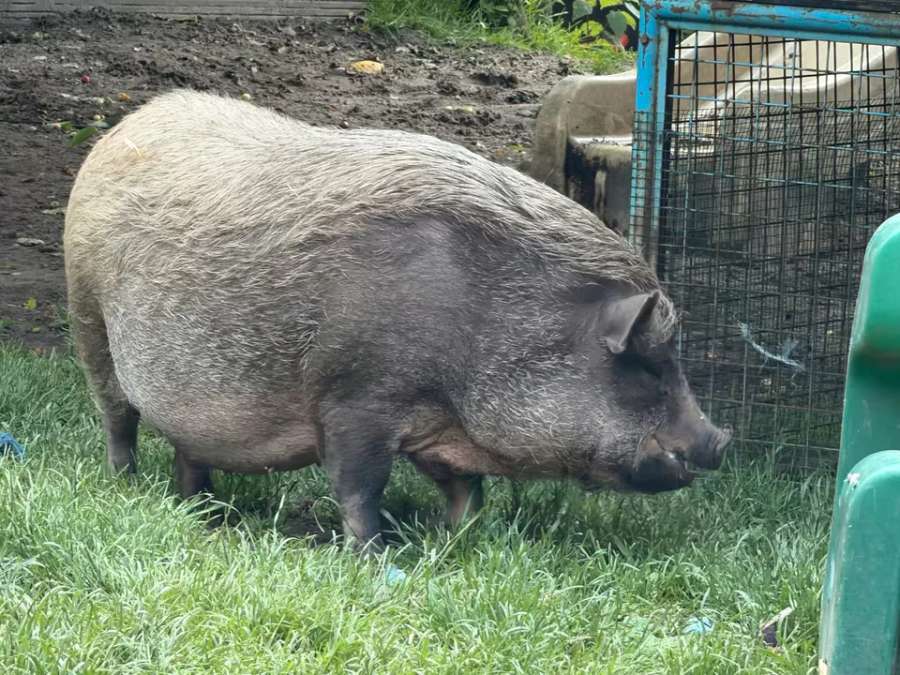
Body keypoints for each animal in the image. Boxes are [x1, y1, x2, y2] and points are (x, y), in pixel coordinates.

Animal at [64, 89, 731, 552]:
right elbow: (359, 483)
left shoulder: (437, 426)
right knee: (117, 416)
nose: (720, 440)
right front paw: (379, 555)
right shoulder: (353, 397)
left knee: (187, 449)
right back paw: (128, 486)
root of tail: (119, 130)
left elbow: (465, 487)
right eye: (649, 365)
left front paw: (468, 538)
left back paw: (201, 510)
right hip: (87, 315)